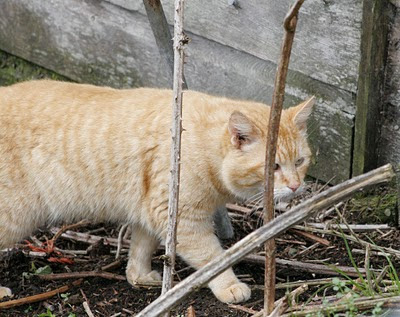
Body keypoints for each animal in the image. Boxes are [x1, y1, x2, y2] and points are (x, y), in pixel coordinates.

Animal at [0, 80, 314, 302]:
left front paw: (138, 277)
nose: (295, 185)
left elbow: (142, 247)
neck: (202, 143)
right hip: (12, 218)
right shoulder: (181, 218)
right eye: (273, 166)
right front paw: (229, 285)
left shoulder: (151, 211)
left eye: (300, 161)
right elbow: (213, 257)